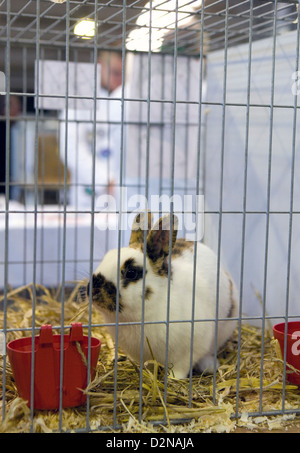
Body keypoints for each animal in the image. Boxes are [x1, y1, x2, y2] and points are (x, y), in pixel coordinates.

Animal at [87, 212, 239, 378]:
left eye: (131, 273)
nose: (91, 289)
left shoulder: (190, 349)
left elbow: (180, 368)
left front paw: (173, 379)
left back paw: (209, 365)